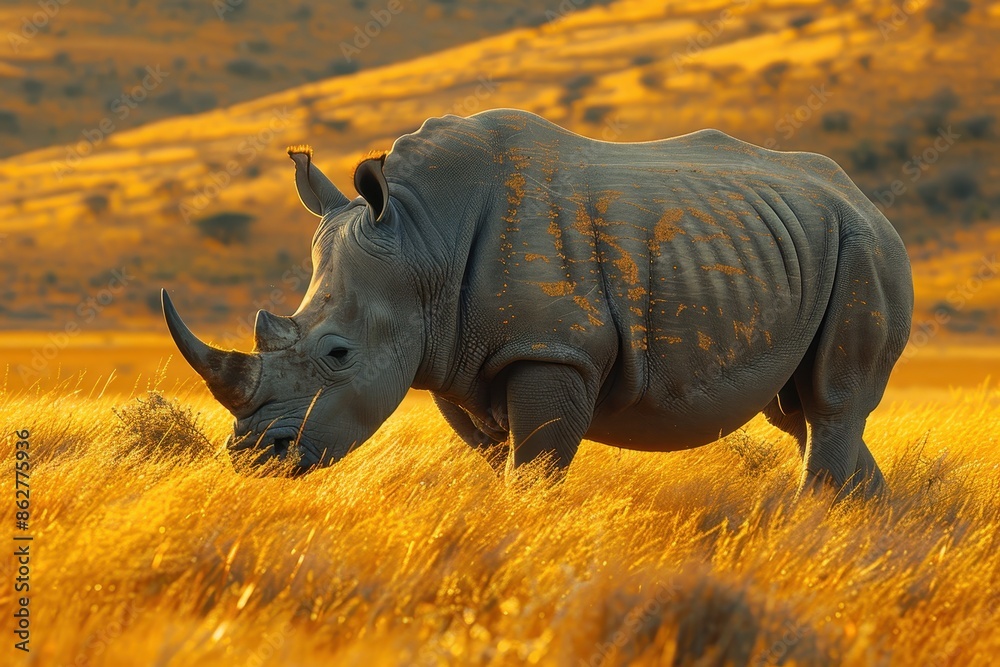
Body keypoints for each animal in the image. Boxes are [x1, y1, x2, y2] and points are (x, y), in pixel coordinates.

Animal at [162, 108, 913, 499]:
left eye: (338, 352)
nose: (254, 456)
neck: (422, 239)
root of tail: (866, 199)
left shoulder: (556, 351)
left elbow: (536, 465)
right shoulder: (457, 357)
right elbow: (503, 459)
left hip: (866, 251)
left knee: (831, 404)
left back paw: (819, 523)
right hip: (799, 244)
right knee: (799, 412)